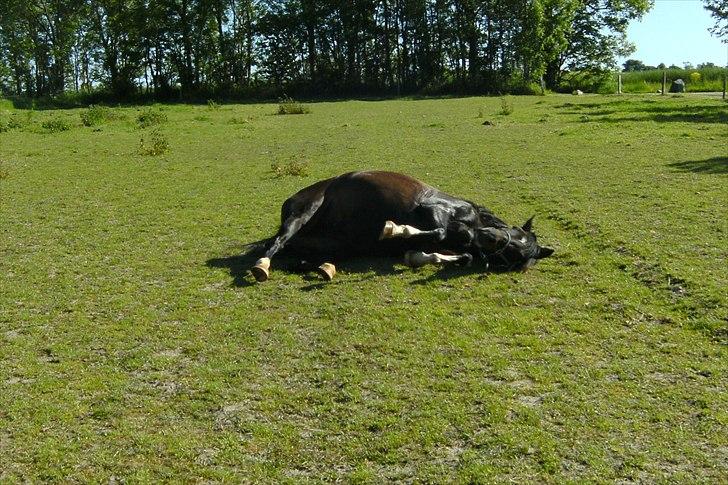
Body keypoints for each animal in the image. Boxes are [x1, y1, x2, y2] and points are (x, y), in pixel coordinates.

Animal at [249, 170, 552, 282]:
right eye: (516, 232)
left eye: (514, 257)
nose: (488, 238)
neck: (473, 220)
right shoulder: (432, 209)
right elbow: (439, 231)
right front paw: (393, 229)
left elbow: (459, 255)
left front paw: (419, 256)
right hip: (303, 213)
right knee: (275, 243)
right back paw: (263, 266)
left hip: (339, 244)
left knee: (297, 256)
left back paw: (324, 268)